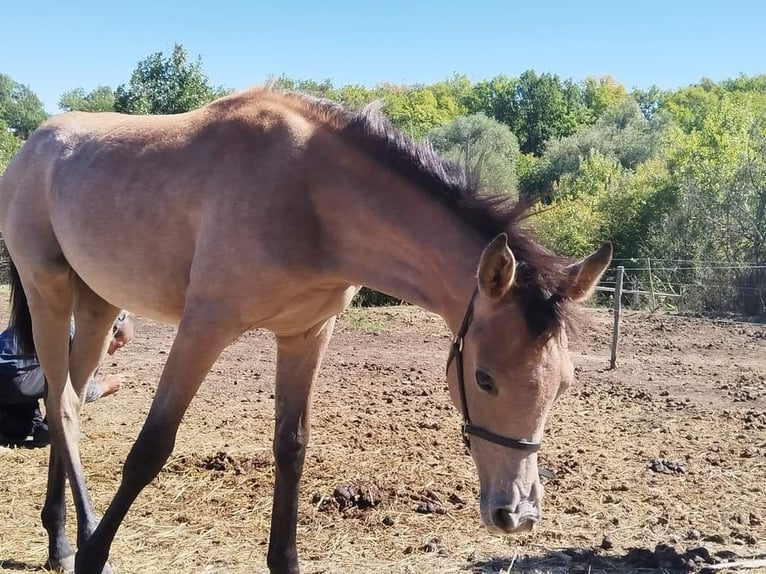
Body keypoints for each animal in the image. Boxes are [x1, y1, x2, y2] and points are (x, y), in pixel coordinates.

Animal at [0, 86, 612, 574]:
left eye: (563, 385)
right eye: (484, 379)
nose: (517, 514)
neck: (308, 193)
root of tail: (34, 146)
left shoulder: (307, 334)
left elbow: (291, 446)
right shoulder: (204, 327)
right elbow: (151, 447)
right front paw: (95, 557)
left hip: (98, 305)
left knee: (66, 400)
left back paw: (61, 536)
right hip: (49, 291)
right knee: (62, 405)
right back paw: (75, 541)